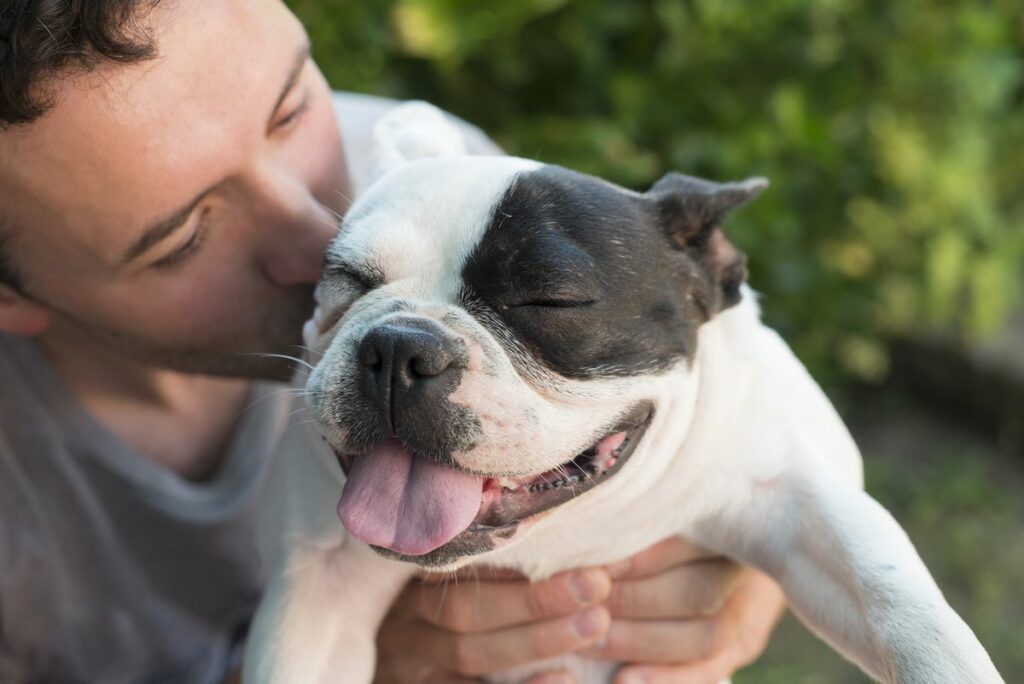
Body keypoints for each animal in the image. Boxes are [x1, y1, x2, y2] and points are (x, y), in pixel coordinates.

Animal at [243, 101, 1003, 684]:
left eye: (548, 300)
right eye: (348, 281)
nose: (401, 345)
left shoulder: (793, 496)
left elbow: (892, 595)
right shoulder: (321, 587)